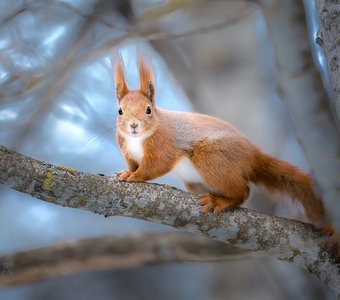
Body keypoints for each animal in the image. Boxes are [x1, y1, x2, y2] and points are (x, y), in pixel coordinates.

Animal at [113, 52, 332, 233]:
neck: (136, 139)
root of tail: (253, 155)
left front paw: (136, 176)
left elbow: (155, 166)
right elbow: (133, 163)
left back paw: (219, 202)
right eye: (120, 110)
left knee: (243, 191)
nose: (133, 125)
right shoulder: (128, 151)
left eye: (149, 110)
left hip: (211, 156)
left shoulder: (163, 145)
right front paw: (127, 172)